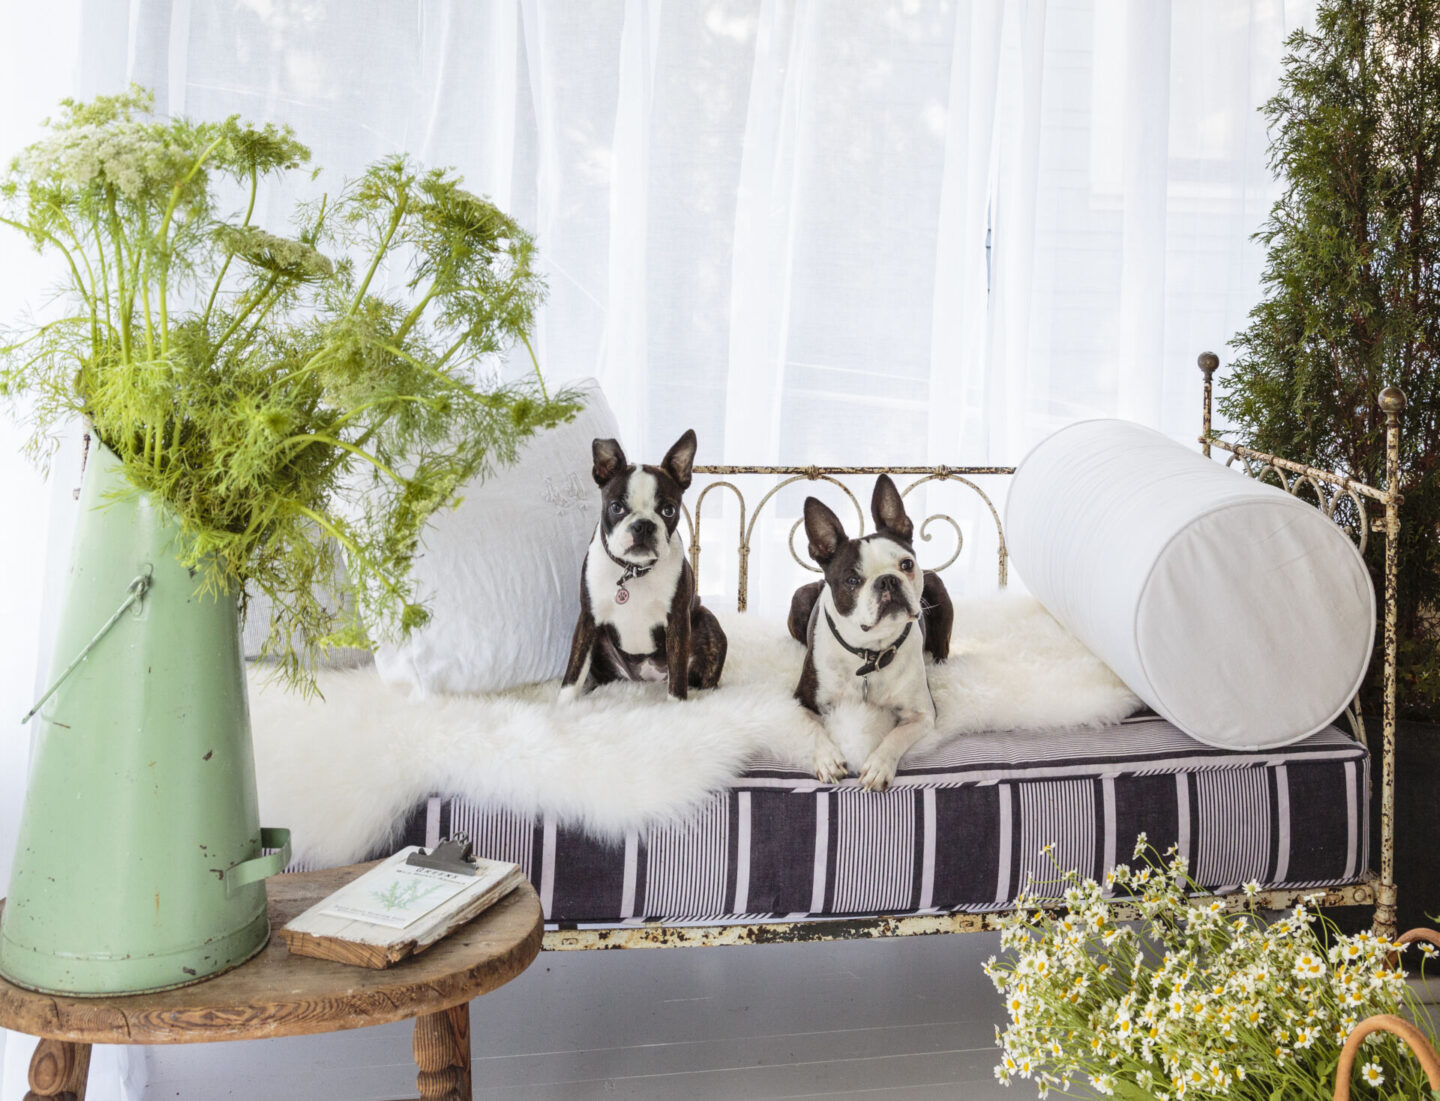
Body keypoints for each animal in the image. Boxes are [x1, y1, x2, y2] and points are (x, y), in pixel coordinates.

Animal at [555, 431, 725, 705]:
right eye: (616, 507)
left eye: (669, 510)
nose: (643, 525)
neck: (633, 571)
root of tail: (646, 680)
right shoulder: (588, 619)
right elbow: (575, 668)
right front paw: (563, 704)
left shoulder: (678, 621)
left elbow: (678, 673)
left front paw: (677, 706)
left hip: (707, 623)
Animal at [789, 477, 956, 788]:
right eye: (852, 580)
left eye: (906, 564)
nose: (887, 580)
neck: (871, 651)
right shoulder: (801, 702)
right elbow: (813, 729)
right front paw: (827, 759)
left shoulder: (923, 714)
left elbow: (896, 735)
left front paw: (879, 766)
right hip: (799, 599)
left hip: (938, 588)